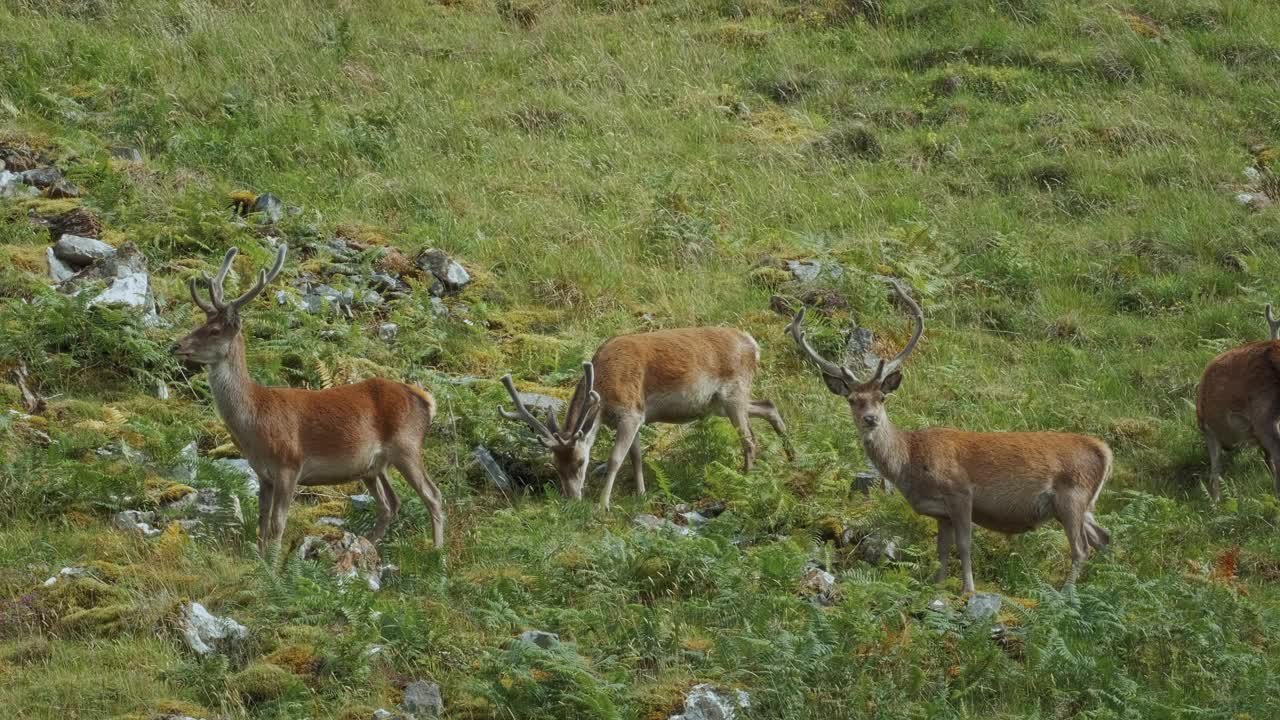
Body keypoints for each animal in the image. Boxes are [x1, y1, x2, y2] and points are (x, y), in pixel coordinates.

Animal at [175, 243, 445, 550]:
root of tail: (425, 399)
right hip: (373, 467)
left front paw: (273, 558)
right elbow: (261, 522)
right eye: (201, 323)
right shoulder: (263, 473)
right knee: (391, 503)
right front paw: (259, 555)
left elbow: (278, 524)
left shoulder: (289, 464)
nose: (176, 346)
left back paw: (437, 553)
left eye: (214, 330)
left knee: (433, 496)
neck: (254, 420)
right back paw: (367, 544)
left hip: (407, 445)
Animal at [496, 327, 788, 507]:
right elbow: (636, 456)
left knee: (749, 439)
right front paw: (641, 494)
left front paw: (603, 504)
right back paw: (791, 454)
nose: (572, 499)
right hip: (722, 403)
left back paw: (745, 480)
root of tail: (753, 345)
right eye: (556, 465)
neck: (604, 392)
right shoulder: (637, 417)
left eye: (581, 461)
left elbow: (616, 459)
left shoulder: (631, 412)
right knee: (768, 405)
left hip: (734, 392)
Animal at [783, 280, 1105, 589]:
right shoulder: (941, 512)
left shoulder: (959, 492)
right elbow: (941, 550)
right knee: (1103, 538)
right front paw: (937, 586)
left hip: (1072, 496)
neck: (910, 461)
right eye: (852, 400)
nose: (870, 419)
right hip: (1082, 505)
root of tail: (1103, 449)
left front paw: (968, 590)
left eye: (881, 397)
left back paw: (1067, 593)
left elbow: (963, 546)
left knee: (1081, 548)